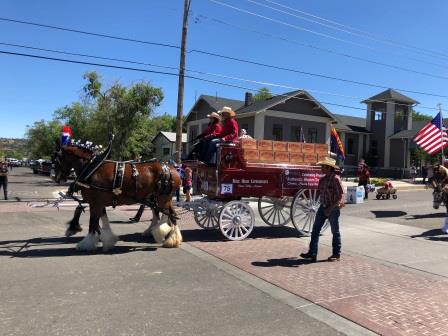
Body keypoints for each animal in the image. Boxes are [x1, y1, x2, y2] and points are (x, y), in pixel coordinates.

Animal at [53, 140, 182, 251]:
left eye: (57, 159)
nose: (56, 178)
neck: (92, 169)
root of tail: (172, 169)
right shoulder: (99, 202)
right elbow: (101, 221)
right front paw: (108, 240)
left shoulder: (95, 203)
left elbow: (92, 223)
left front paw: (86, 243)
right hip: (159, 198)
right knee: (169, 214)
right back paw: (168, 237)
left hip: (163, 197)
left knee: (170, 215)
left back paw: (167, 237)